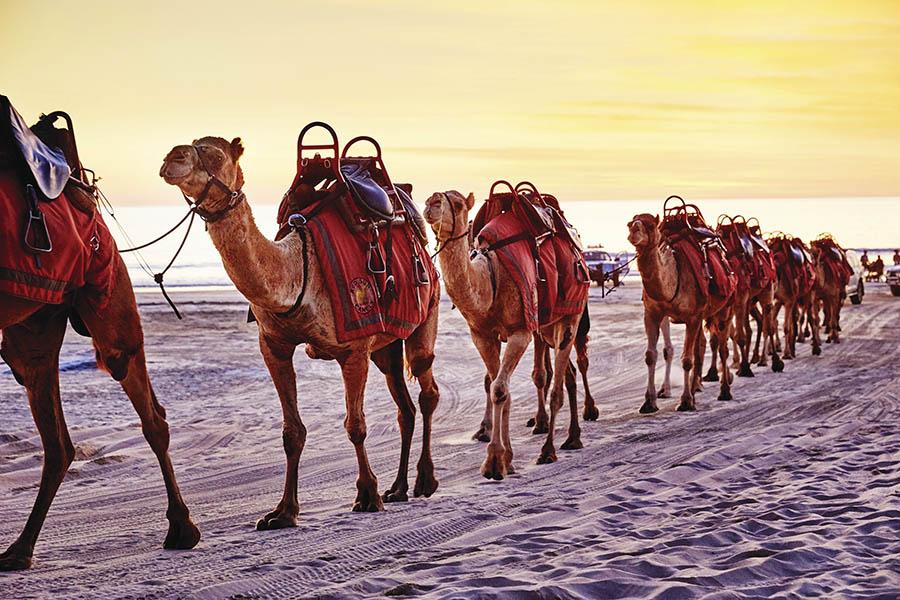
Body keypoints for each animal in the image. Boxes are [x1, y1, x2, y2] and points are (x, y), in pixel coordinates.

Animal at [0, 126, 199, 570]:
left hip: (107, 291)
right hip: (34, 323)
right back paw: (19, 549)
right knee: (57, 439)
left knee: (145, 405)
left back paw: (182, 528)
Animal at [160, 136, 441, 525]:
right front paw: (282, 512)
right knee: (405, 408)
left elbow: (356, 425)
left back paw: (424, 480)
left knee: (427, 391)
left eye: (215, 154)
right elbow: (292, 432)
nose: (172, 157)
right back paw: (398, 488)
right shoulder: (273, 345)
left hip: (426, 314)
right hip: (386, 347)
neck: (299, 269)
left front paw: (367, 494)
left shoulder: (354, 348)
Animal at [423, 190, 585, 480]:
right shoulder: (482, 335)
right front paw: (506, 457)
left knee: (557, 387)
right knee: (566, 374)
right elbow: (496, 386)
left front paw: (494, 460)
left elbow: (499, 388)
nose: (432, 202)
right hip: (547, 326)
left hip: (570, 317)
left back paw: (550, 449)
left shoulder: (520, 332)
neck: (490, 277)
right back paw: (571, 437)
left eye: (458, 203)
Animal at [627, 213, 735, 413]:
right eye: (630, 224)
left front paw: (685, 402)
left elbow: (686, 359)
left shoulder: (692, 317)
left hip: (726, 307)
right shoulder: (652, 314)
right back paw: (694, 389)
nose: (634, 231)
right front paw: (649, 402)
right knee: (699, 349)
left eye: (651, 225)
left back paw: (724, 391)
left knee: (722, 349)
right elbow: (651, 356)